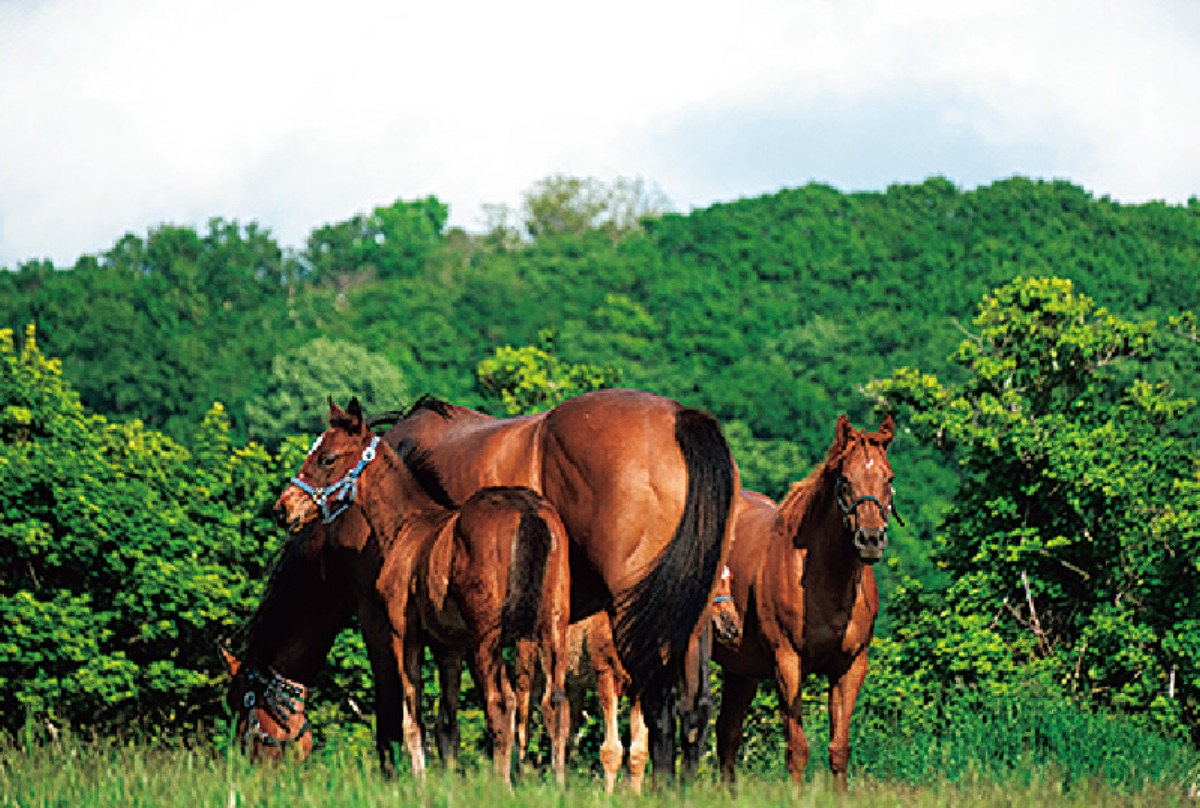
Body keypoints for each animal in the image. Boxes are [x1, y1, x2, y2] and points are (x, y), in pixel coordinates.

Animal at [274, 400, 571, 782]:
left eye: (327, 458)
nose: (283, 509)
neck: (408, 524)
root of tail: (528, 511)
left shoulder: (403, 634)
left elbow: (411, 714)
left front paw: (420, 779)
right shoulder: (450, 646)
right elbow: (447, 720)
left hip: (487, 636)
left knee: (500, 702)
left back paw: (501, 783)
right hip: (552, 624)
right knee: (555, 702)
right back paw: (557, 783)